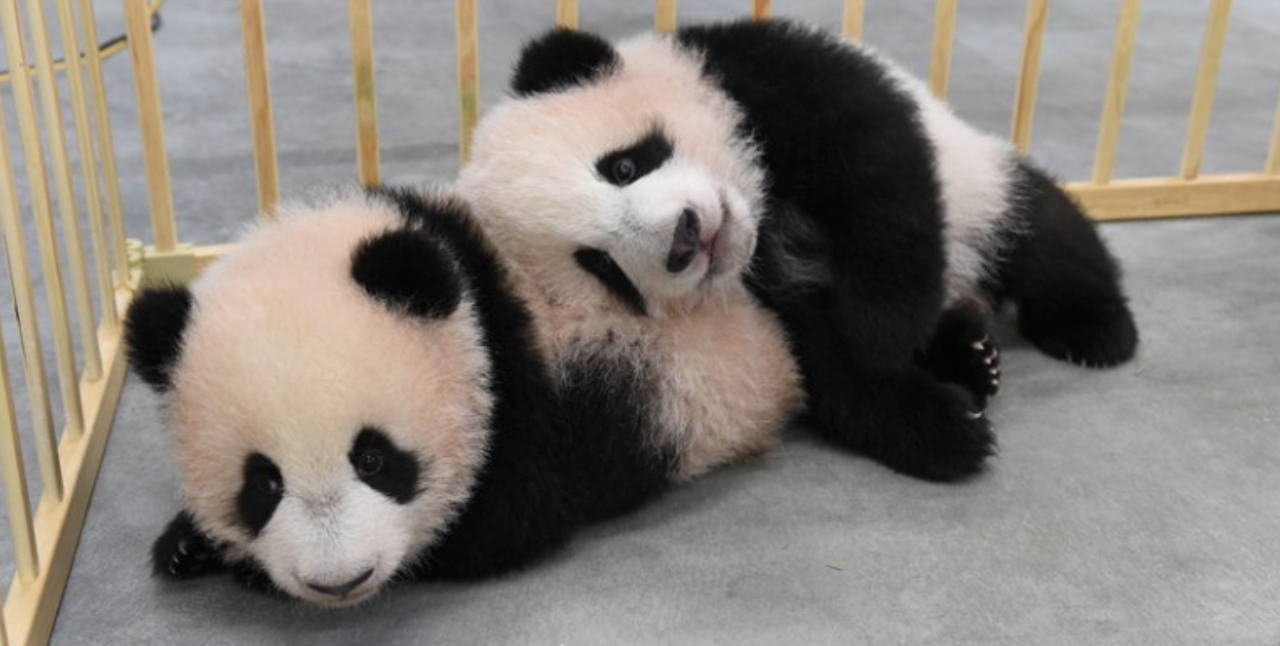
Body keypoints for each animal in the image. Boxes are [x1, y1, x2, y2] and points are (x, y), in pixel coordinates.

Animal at [457, 19, 1138, 483]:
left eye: (622, 166)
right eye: (604, 266)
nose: (684, 239)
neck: (764, 223)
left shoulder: (760, 76)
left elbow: (878, 166)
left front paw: (884, 332)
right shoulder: (769, 304)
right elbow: (828, 364)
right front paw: (945, 430)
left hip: (978, 183)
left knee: (1045, 236)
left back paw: (1095, 331)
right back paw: (971, 355)